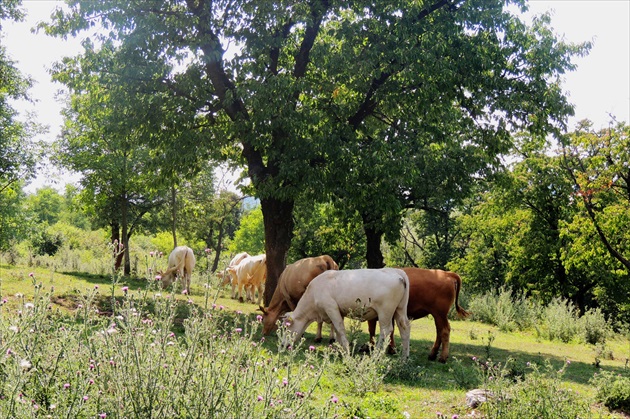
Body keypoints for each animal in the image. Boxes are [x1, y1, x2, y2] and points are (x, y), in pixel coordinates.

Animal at [284, 268, 412, 360]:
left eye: (286, 328)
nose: (282, 345)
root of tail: (395, 271)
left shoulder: (331, 307)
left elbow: (340, 329)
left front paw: (347, 352)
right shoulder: (338, 312)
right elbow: (337, 331)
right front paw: (340, 351)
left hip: (385, 312)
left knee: (386, 330)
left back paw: (376, 356)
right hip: (400, 309)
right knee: (404, 327)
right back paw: (404, 358)